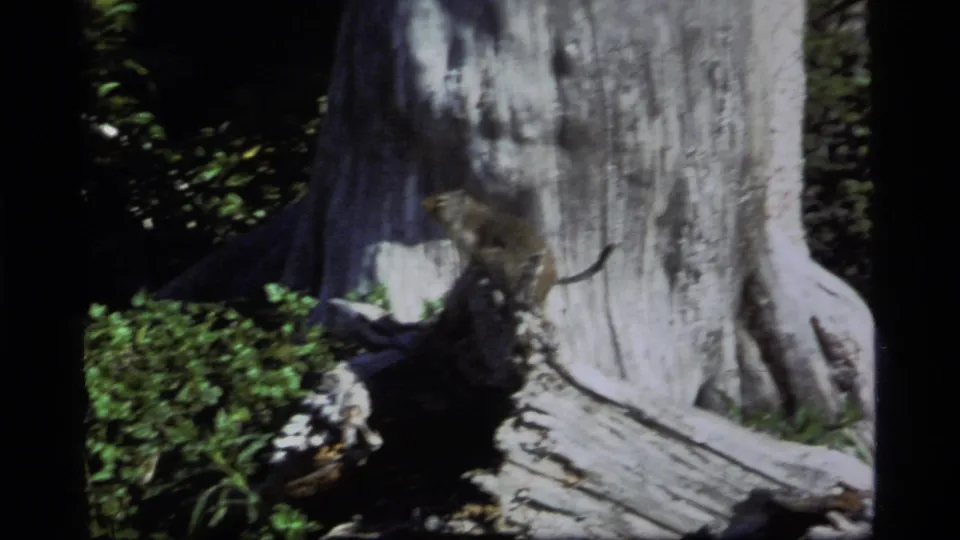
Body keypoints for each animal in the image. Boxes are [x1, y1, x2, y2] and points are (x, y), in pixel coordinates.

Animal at [422, 189, 617, 308]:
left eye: (441, 201)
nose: (424, 202)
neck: (464, 215)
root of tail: (554, 279)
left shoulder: (476, 247)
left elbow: (474, 262)